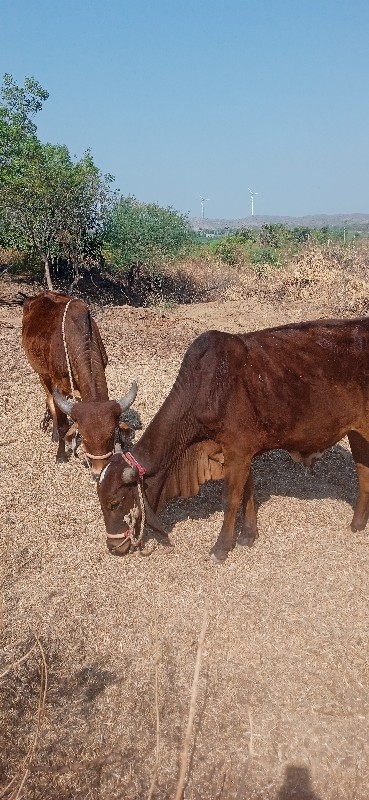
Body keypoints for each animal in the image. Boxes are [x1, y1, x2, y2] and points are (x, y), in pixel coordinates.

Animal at [23, 292, 138, 476]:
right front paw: (61, 455)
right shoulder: (57, 385)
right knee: (50, 400)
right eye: (83, 437)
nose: (98, 470)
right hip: (41, 373)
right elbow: (63, 425)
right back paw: (54, 433)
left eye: (111, 434)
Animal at [95, 318, 369, 564]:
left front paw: (221, 548)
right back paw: (357, 524)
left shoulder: (238, 451)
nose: (113, 547)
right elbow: (247, 492)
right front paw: (248, 535)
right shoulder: (239, 453)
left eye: (115, 503)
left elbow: (230, 499)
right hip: (356, 434)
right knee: (363, 473)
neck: (206, 388)